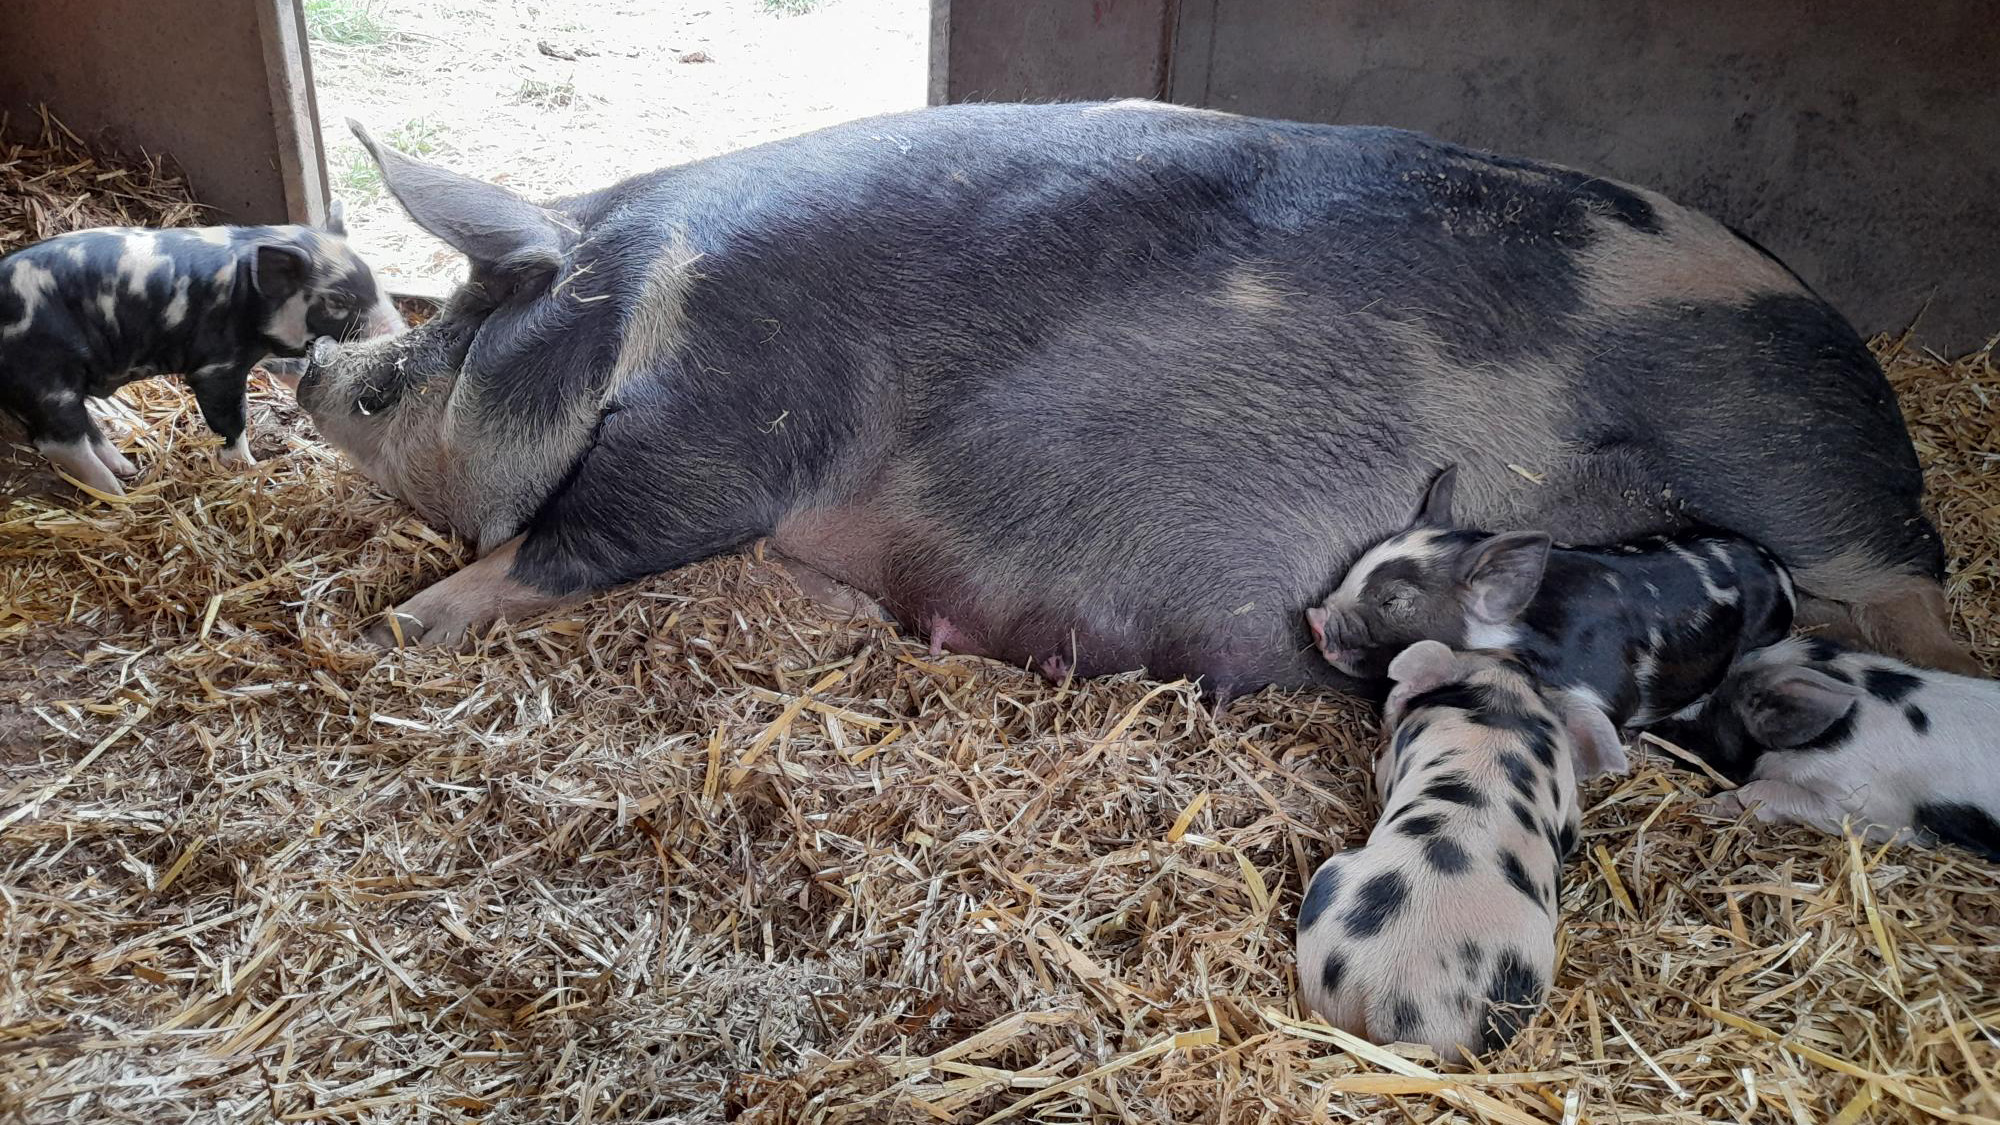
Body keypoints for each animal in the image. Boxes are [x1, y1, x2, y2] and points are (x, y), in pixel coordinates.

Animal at [0, 205, 401, 495]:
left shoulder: (273, 354)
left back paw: (126, 469)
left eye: (376, 280)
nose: (398, 332)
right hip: (46, 379)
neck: (248, 299)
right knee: (58, 442)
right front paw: (250, 469)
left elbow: (297, 374)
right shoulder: (216, 366)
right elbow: (231, 420)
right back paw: (118, 493)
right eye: (339, 300)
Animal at [293, 103, 1976, 700]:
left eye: (457, 318)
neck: (649, 300)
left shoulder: (735, 410)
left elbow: (581, 535)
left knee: (1914, 599)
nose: (314, 363)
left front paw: (394, 629)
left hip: (1790, 457)